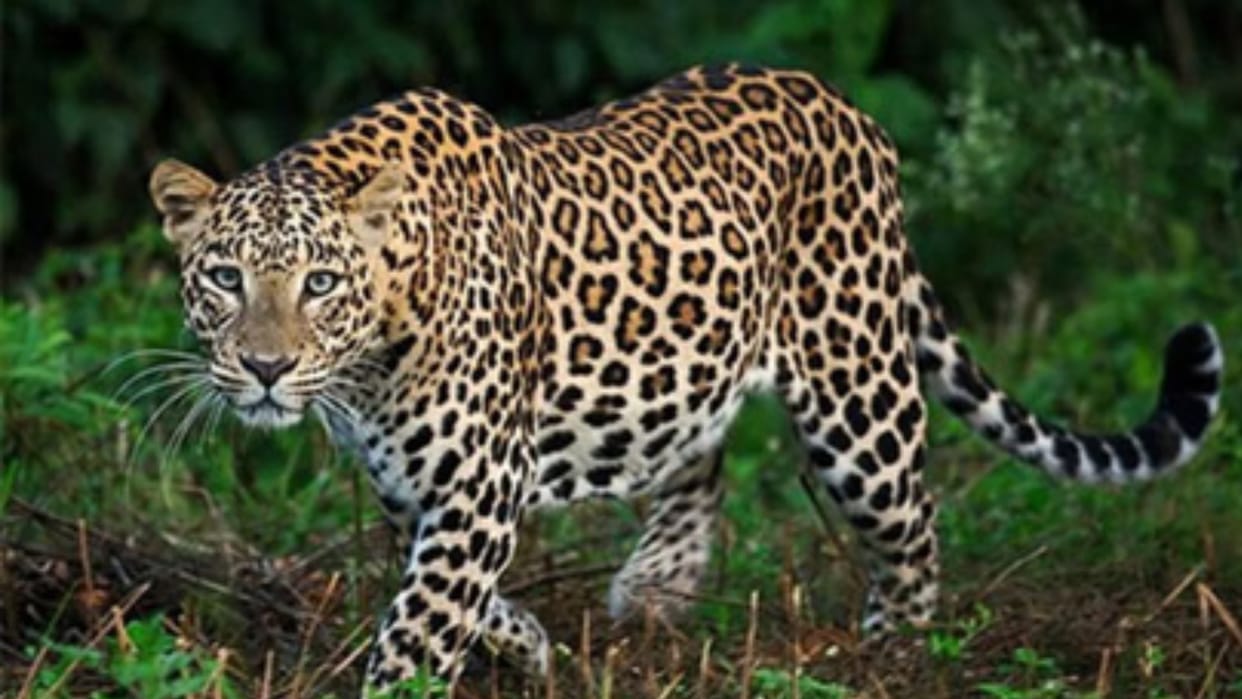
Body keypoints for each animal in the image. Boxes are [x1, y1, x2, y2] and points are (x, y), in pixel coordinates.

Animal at [146, 63, 1224, 693]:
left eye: (321, 282)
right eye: (225, 277)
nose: (267, 368)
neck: (371, 351)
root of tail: (848, 108)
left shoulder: (476, 484)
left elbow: (419, 625)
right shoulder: (416, 485)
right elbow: (453, 595)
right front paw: (528, 644)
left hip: (857, 394)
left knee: (914, 526)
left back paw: (896, 654)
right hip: (686, 364)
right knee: (698, 456)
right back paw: (658, 584)